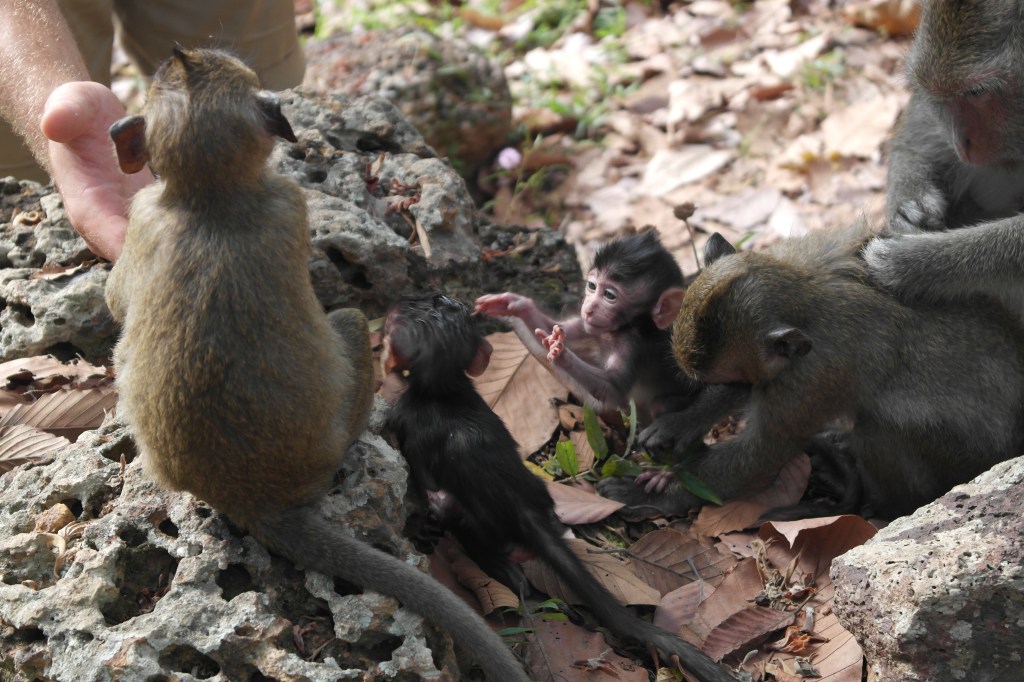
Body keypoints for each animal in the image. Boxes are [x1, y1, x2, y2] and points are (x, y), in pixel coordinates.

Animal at [105, 47, 528, 681]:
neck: (211, 198)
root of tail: (255, 500)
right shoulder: (289, 202)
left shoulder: (143, 216)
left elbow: (116, 304)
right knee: (350, 321)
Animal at [383, 291, 738, 682]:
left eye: (432, 300)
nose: (402, 301)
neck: (442, 391)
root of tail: (524, 511)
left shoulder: (403, 415)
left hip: (474, 522)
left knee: (467, 528)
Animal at [603, 223, 1024, 520]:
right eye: (730, 380)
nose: (735, 385)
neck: (804, 291)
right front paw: (681, 423)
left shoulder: (811, 376)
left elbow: (764, 452)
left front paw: (652, 496)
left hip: (964, 458)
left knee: (882, 428)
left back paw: (881, 501)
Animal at [865, 0, 1024, 319]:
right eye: (946, 97)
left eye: (977, 91)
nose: (962, 142)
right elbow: (924, 114)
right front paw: (908, 200)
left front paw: (916, 264)